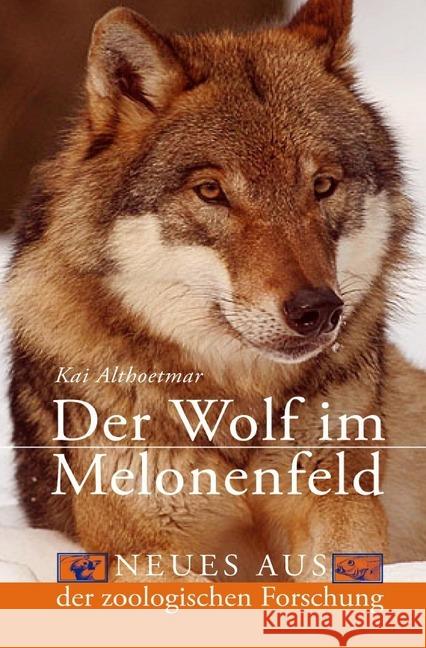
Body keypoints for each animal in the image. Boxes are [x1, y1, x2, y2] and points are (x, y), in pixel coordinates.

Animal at [6, 0, 426, 581]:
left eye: (322, 185)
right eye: (211, 191)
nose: (318, 309)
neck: (236, 410)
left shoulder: (337, 496)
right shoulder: (140, 548)